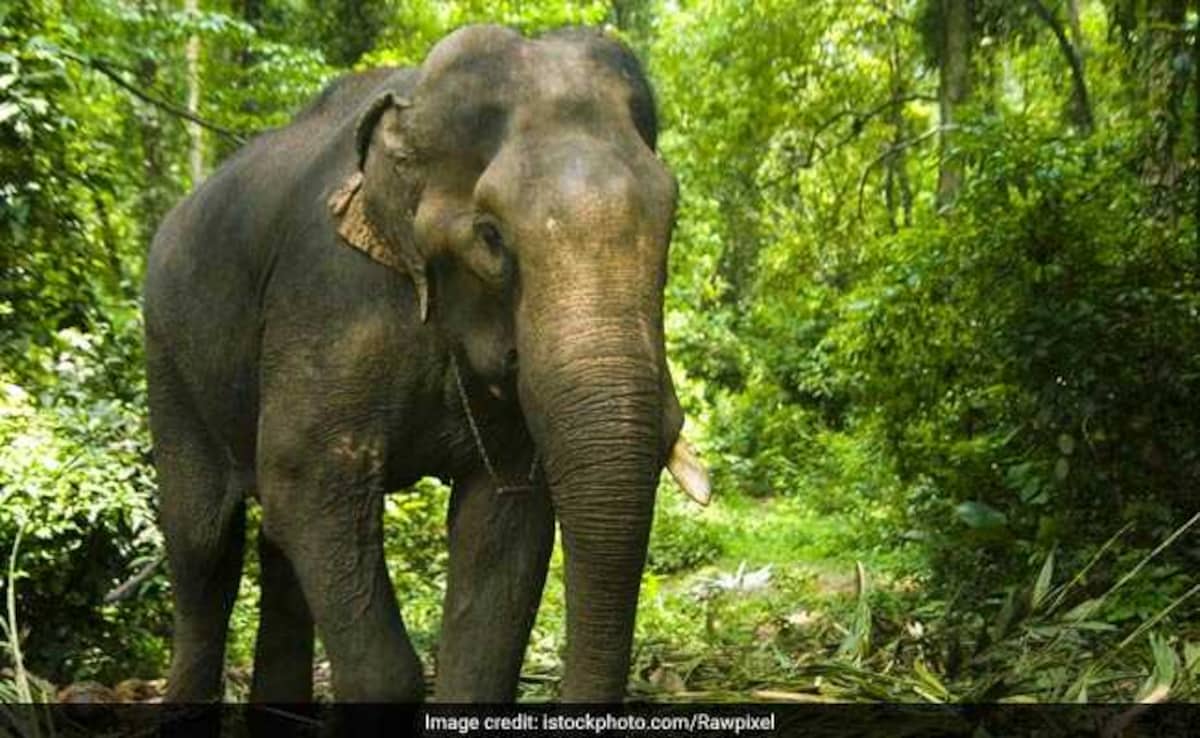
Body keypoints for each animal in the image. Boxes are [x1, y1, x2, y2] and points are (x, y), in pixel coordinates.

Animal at [143, 23, 710, 704]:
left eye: (670, 221)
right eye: (491, 237)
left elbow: (503, 525)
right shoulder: (329, 294)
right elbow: (303, 474)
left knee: (274, 544)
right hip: (167, 356)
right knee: (203, 543)